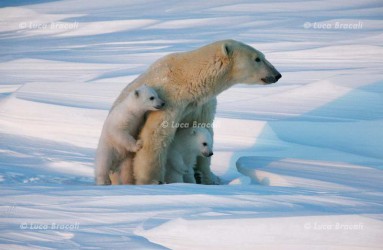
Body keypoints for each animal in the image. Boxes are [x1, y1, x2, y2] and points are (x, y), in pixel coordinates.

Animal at [112, 38, 282, 184]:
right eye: (258, 58)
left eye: (263, 56)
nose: (277, 75)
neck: (187, 79)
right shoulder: (166, 100)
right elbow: (155, 136)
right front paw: (152, 181)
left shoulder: (202, 104)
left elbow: (204, 130)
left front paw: (206, 177)